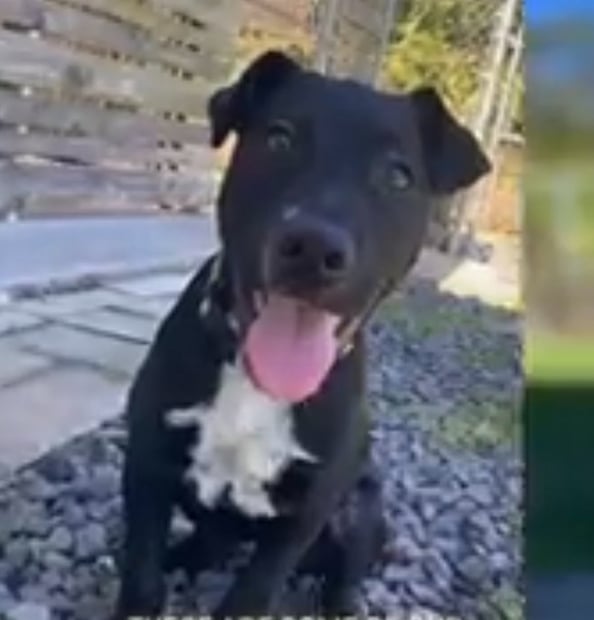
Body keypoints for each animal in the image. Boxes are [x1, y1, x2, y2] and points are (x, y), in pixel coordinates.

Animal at [113, 50, 488, 616]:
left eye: (399, 176)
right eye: (279, 139)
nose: (313, 247)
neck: (254, 383)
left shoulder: (303, 516)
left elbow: (252, 592)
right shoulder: (148, 466)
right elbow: (141, 574)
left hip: (361, 507)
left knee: (344, 575)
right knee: (210, 542)